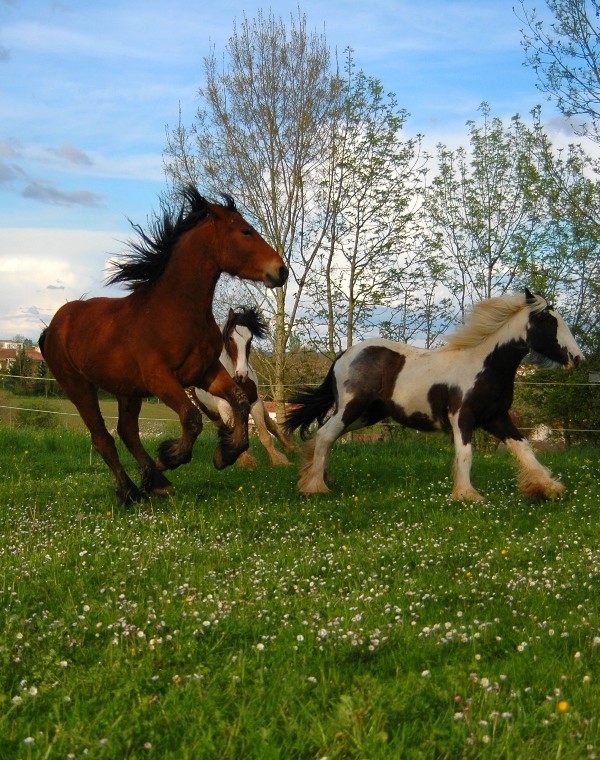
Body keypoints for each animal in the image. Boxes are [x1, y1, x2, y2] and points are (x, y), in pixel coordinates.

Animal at [191, 306, 296, 466]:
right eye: (230, 338)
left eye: (250, 338)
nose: (241, 374)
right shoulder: (224, 408)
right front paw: (247, 462)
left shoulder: (254, 402)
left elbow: (265, 435)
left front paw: (278, 461)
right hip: (211, 412)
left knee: (271, 424)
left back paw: (291, 448)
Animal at [284, 294, 584, 502]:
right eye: (549, 321)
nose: (578, 358)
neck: (484, 366)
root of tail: (343, 356)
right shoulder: (462, 417)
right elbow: (465, 454)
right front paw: (466, 495)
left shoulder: (496, 418)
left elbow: (524, 448)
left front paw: (548, 488)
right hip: (352, 408)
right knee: (325, 436)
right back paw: (315, 487)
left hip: (367, 414)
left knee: (327, 436)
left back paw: (315, 478)